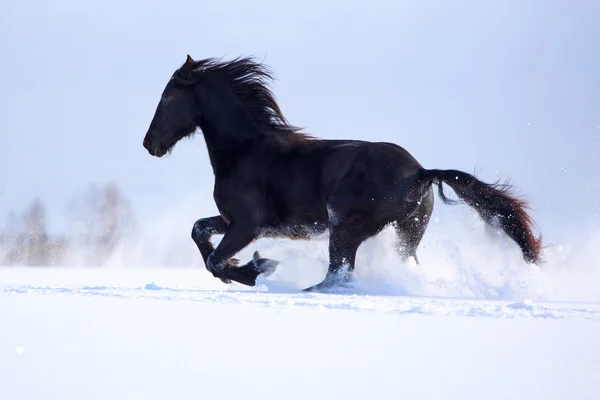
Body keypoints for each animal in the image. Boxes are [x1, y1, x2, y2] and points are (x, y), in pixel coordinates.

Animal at [142, 54, 544, 290]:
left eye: (167, 97)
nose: (149, 144)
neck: (245, 151)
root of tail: (421, 172)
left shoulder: (248, 224)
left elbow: (215, 260)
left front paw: (258, 267)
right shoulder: (233, 221)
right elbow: (198, 231)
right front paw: (248, 266)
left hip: (346, 228)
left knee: (337, 274)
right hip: (405, 235)